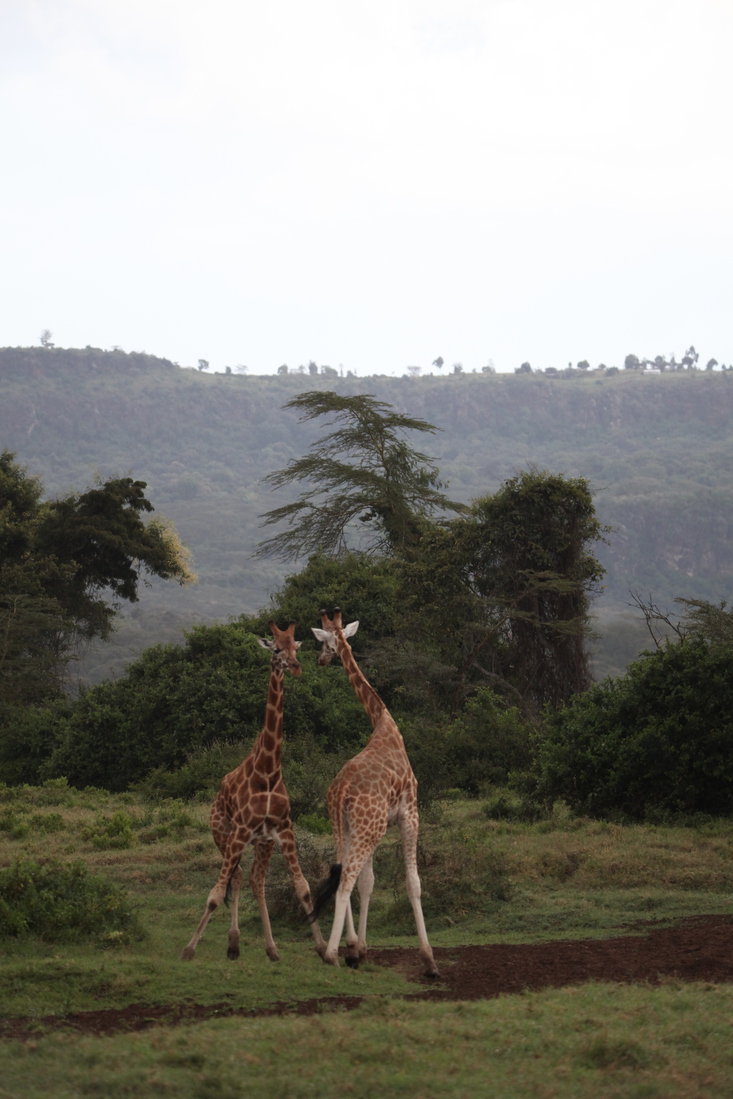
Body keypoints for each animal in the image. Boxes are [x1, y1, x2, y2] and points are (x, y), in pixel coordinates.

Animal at [180, 624, 327, 967]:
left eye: (296, 646)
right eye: (276, 649)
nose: (296, 667)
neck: (269, 771)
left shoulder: (283, 829)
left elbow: (302, 887)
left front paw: (325, 949)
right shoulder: (242, 830)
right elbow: (214, 894)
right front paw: (189, 949)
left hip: (261, 842)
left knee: (253, 880)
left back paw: (267, 948)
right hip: (224, 834)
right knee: (234, 878)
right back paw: (233, 944)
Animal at [312, 606, 441, 975]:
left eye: (325, 643)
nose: (320, 660)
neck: (383, 721)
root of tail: (340, 790)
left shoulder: (374, 825)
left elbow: (369, 883)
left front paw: (361, 947)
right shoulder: (409, 814)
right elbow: (413, 883)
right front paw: (429, 958)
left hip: (344, 826)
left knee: (343, 873)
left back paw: (346, 948)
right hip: (367, 828)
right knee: (345, 880)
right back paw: (331, 953)